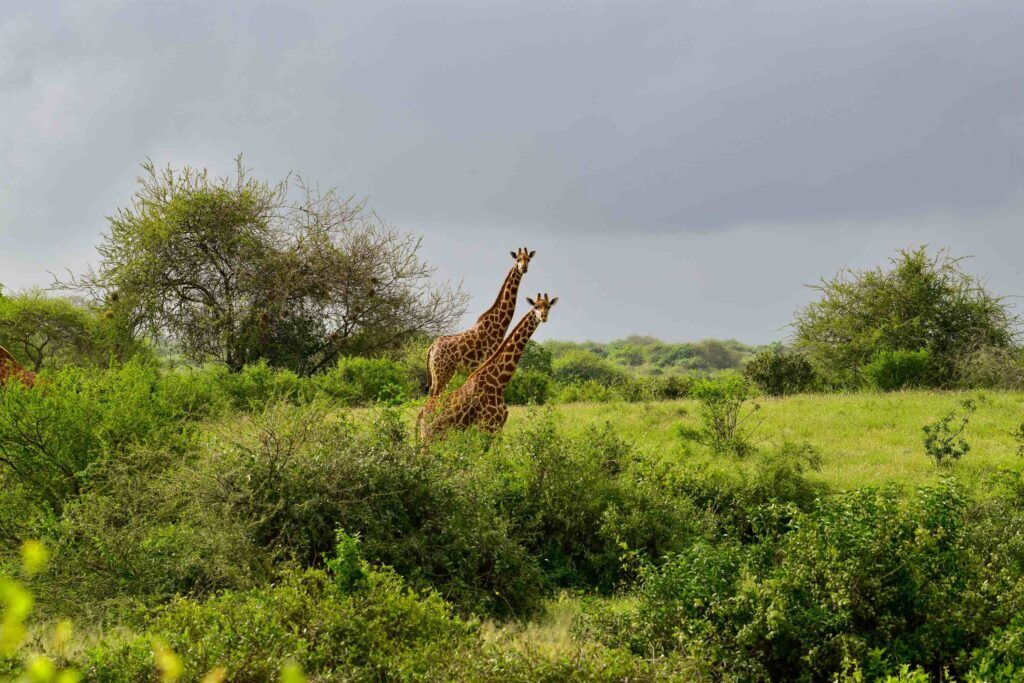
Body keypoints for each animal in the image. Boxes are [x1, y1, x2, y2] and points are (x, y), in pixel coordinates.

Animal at [417, 292, 561, 444]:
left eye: (549, 306)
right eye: (536, 306)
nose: (543, 316)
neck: (498, 381)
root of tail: (420, 416)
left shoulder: (497, 428)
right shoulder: (488, 427)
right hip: (430, 435)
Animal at [425, 246, 536, 397]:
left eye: (528, 259)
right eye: (518, 259)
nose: (524, 268)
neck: (499, 325)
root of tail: (431, 348)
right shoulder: (489, 359)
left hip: (436, 373)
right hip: (443, 372)